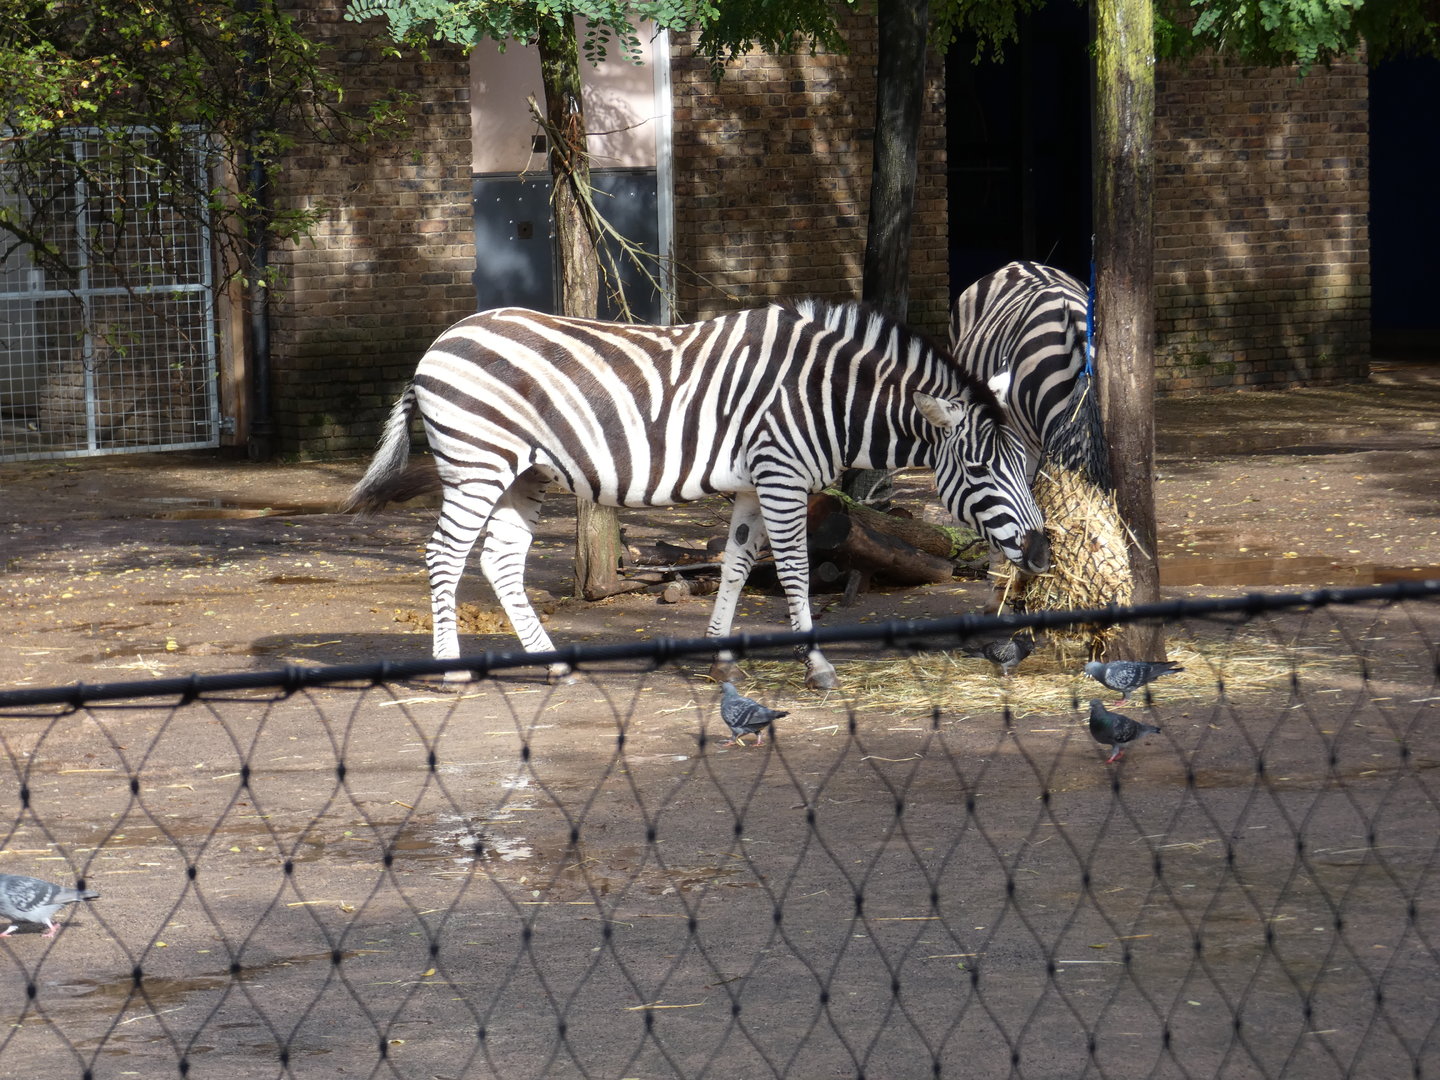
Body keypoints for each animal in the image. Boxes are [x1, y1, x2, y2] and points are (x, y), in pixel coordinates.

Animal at [343, 299, 1050, 689]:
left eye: (1027, 463)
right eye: (981, 470)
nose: (1043, 552)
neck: (822, 395)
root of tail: (438, 344)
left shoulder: (753, 484)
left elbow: (736, 566)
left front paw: (721, 660)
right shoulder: (781, 475)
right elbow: (794, 572)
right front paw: (817, 666)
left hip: (525, 475)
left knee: (499, 560)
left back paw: (552, 663)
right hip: (478, 462)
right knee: (445, 555)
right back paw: (450, 671)